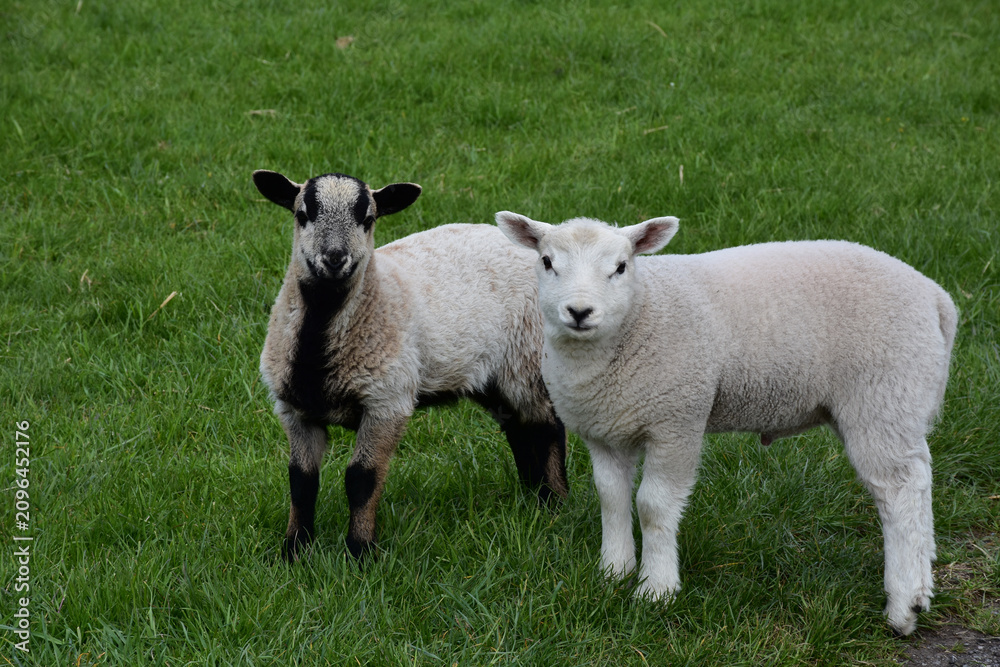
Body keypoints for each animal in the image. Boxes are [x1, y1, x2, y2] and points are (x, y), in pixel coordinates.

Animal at [252, 170, 569, 562]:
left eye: (367, 219)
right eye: (302, 214)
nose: (335, 258)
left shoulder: (387, 403)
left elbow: (362, 478)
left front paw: (360, 553)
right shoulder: (294, 409)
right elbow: (301, 481)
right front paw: (294, 550)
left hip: (528, 356)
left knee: (547, 427)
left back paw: (555, 503)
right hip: (496, 375)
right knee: (520, 428)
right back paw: (531, 496)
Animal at [495, 211, 957, 636]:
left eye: (622, 267)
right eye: (547, 262)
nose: (579, 311)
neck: (640, 314)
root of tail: (936, 297)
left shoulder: (677, 421)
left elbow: (652, 506)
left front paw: (655, 589)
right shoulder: (605, 430)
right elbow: (611, 497)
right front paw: (614, 571)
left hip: (883, 397)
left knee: (900, 491)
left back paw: (904, 604)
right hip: (889, 405)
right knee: (918, 482)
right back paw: (922, 578)